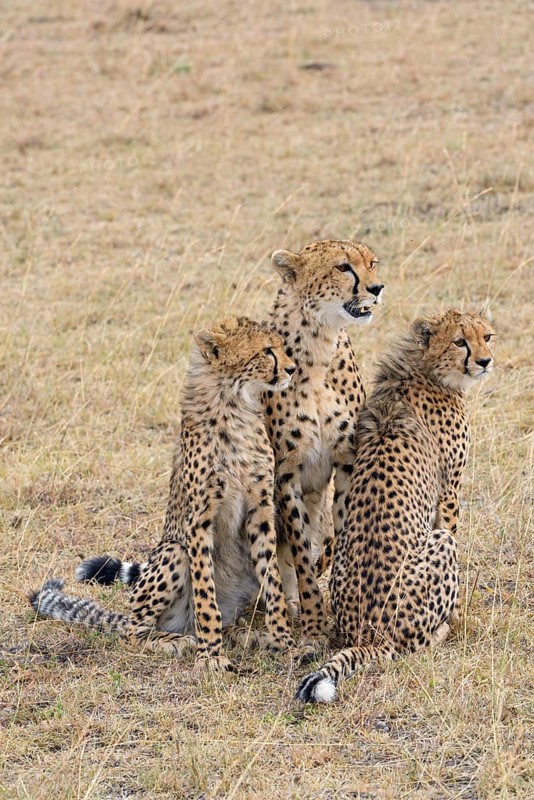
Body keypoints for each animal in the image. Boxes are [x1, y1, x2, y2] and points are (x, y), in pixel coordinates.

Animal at [30, 316, 298, 670]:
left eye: (280, 347)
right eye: (267, 351)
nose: (292, 369)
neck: (235, 402)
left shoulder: (261, 511)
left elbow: (273, 583)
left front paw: (284, 642)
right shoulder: (198, 521)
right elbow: (205, 594)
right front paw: (211, 657)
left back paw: (248, 635)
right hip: (173, 551)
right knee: (134, 630)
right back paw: (176, 641)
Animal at [264, 239, 384, 641]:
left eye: (373, 263)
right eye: (342, 267)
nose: (377, 288)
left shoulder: (347, 461)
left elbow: (343, 532)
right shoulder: (285, 472)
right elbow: (300, 551)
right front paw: (315, 621)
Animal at [296, 308, 495, 702]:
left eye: (487, 336)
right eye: (459, 341)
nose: (485, 361)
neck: (424, 369)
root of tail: (370, 635)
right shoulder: (449, 491)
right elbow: (453, 530)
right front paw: (459, 615)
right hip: (438, 548)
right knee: (415, 643)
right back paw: (442, 631)